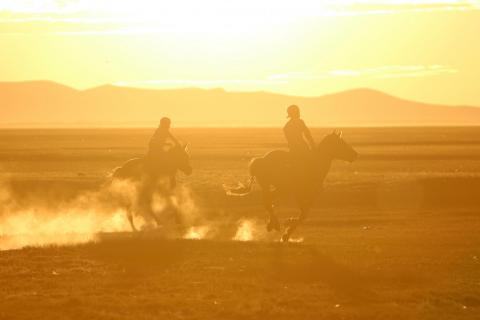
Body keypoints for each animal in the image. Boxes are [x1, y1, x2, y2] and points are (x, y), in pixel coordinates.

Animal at [227, 129, 358, 240]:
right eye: (341, 143)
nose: (354, 155)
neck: (315, 166)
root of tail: (261, 160)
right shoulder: (299, 195)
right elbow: (303, 215)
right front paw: (287, 229)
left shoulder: (309, 197)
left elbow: (304, 215)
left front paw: (287, 230)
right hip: (277, 188)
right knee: (268, 200)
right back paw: (275, 224)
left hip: (275, 188)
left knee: (268, 200)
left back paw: (272, 224)